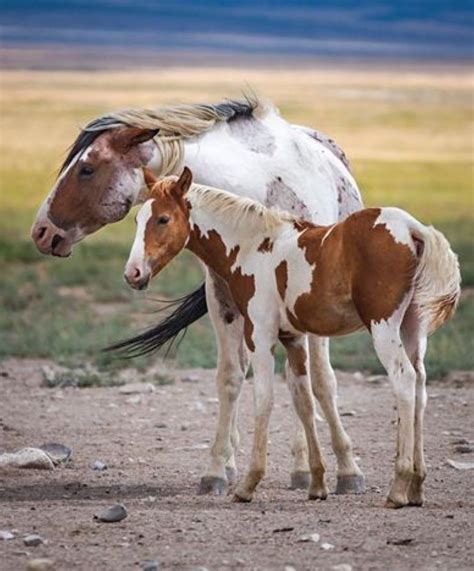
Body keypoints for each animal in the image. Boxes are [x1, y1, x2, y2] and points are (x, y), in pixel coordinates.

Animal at [31, 95, 364, 496]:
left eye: (87, 169)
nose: (41, 231)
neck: (259, 192)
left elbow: (321, 382)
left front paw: (347, 469)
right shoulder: (224, 301)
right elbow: (231, 378)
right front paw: (217, 470)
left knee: (301, 380)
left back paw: (303, 467)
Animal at [125, 168, 460, 508]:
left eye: (163, 219)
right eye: (137, 218)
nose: (133, 273)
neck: (252, 247)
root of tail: (414, 229)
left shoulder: (259, 336)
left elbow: (264, 399)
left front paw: (249, 483)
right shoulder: (294, 339)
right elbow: (304, 400)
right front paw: (316, 483)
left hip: (383, 328)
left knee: (404, 380)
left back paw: (399, 487)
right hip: (412, 330)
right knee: (420, 386)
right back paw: (417, 486)